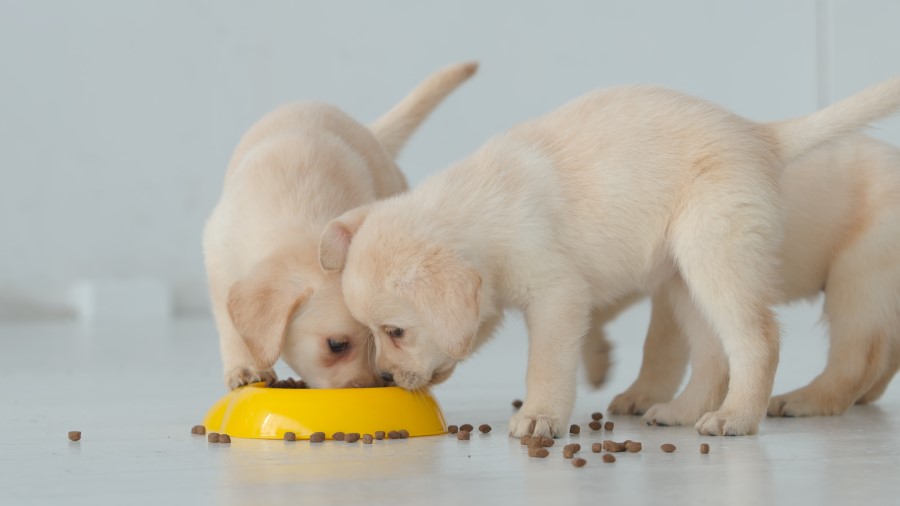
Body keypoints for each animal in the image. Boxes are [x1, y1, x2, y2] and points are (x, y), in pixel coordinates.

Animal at [203, 61, 478, 390]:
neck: (303, 222)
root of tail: (371, 131)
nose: (374, 385)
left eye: (377, 338)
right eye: (336, 345)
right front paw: (244, 367)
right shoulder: (218, 254)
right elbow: (229, 324)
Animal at [588, 134, 900, 420]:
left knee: (857, 348)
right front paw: (598, 363)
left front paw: (636, 396)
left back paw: (797, 401)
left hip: (862, 261)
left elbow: (660, 340)